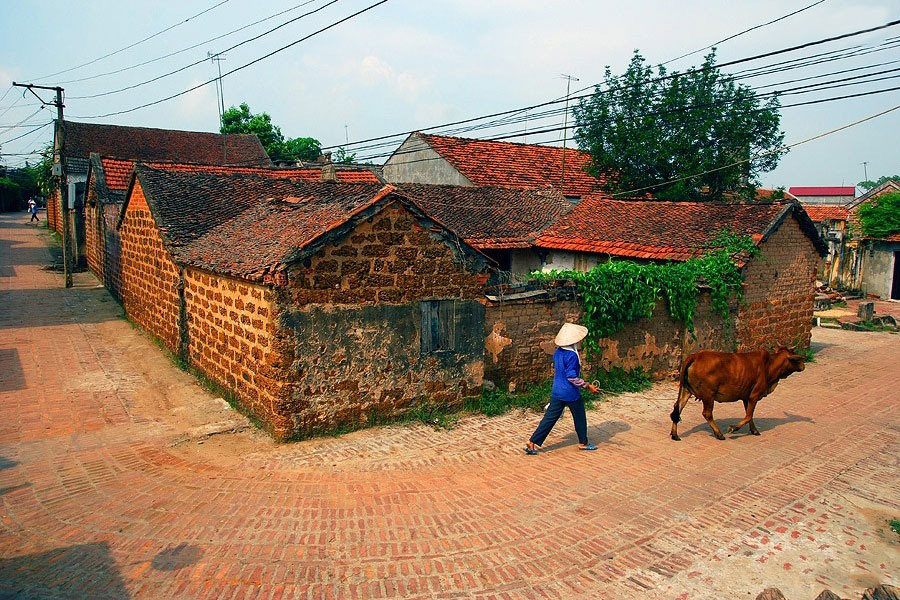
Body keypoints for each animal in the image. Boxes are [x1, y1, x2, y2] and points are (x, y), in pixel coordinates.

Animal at [668, 346, 808, 440]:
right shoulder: (754, 395)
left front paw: (754, 430)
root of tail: (695, 356)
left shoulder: (746, 397)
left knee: (677, 409)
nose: (803, 365)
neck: (769, 365)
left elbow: (749, 415)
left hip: (686, 390)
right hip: (708, 395)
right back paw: (719, 434)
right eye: (795, 358)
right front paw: (733, 428)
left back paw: (675, 434)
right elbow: (748, 416)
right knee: (706, 413)